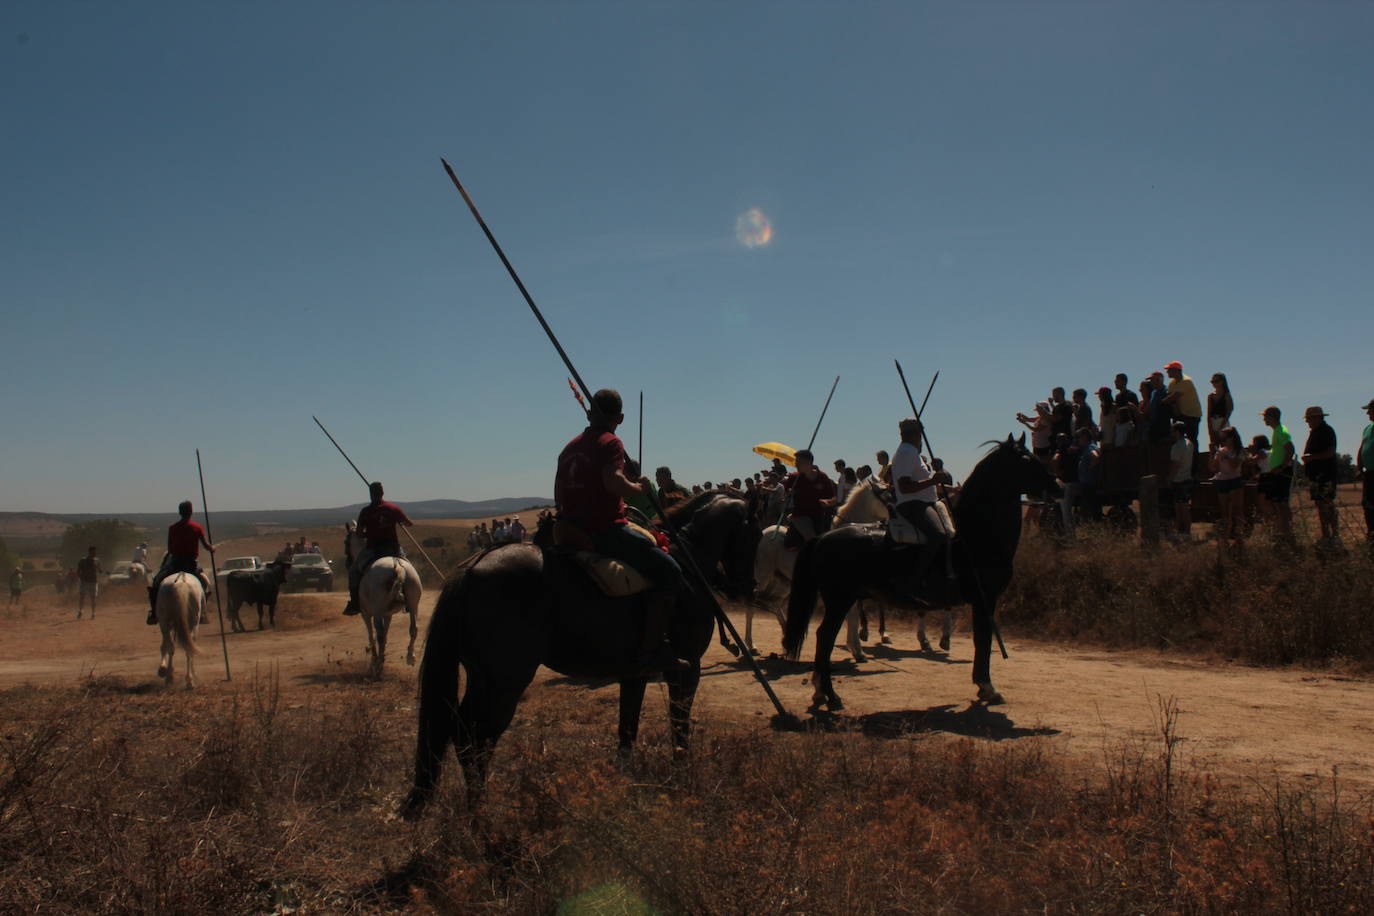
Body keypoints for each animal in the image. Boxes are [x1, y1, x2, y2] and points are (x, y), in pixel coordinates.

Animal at [343, 530, 417, 681]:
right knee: (413, 629)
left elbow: (372, 636)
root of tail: (398, 569)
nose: (347, 563)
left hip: (376, 612)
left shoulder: (366, 614)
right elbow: (386, 635)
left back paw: (377, 667)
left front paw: (374, 663)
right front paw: (381, 661)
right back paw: (410, 657)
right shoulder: (387, 615)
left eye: (346, 542)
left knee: (380, 635)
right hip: (414, 604)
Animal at [401, 491, 758, 818]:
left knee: (462, 733)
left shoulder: (636, 673)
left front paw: (624, 782)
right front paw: (681, 776)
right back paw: (480, 815)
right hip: (505, 682)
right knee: (474, 735)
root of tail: (470, 571)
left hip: (482, 677)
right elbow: (679, 726)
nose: (749, 586)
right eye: (753, 530)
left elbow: (627, 728)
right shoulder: (687, 669)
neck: (689, 563)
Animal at [785, 433, 1060, 714]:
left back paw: (821, 691)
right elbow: (982, 641)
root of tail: (822, 537)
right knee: (825, 637)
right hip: (840, 599)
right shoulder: (985, 600)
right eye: (1026, 460)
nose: (1058, 488)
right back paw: (831, 695)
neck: (975, 539)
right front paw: (988, 687)